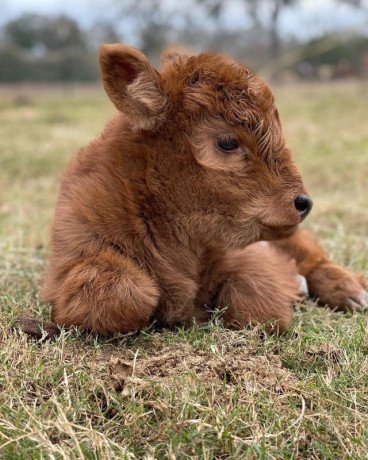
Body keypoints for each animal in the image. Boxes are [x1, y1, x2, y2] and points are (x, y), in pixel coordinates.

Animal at [40, 45, 366, 336]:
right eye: (228, 142)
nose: (303, 203)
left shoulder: (242, 254)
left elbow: (256, 303)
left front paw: (292, 285)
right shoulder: (68, 264)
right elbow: (119, 295)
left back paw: (352, 292)